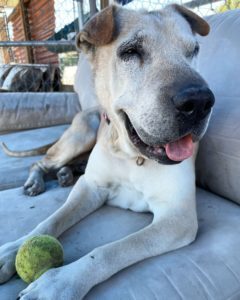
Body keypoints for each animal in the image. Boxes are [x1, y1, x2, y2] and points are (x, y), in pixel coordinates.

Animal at [0, 4, 214, 298]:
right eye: (131, 52)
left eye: (193, 50)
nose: (200, 101)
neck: (133, 157)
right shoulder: (90, 188)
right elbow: (51, 220)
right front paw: (13, 249)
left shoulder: (177, 217)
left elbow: (110, 250)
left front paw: (59, 282)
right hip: (85, 130)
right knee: (40, 163)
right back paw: (39, 181)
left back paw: (66, 174)